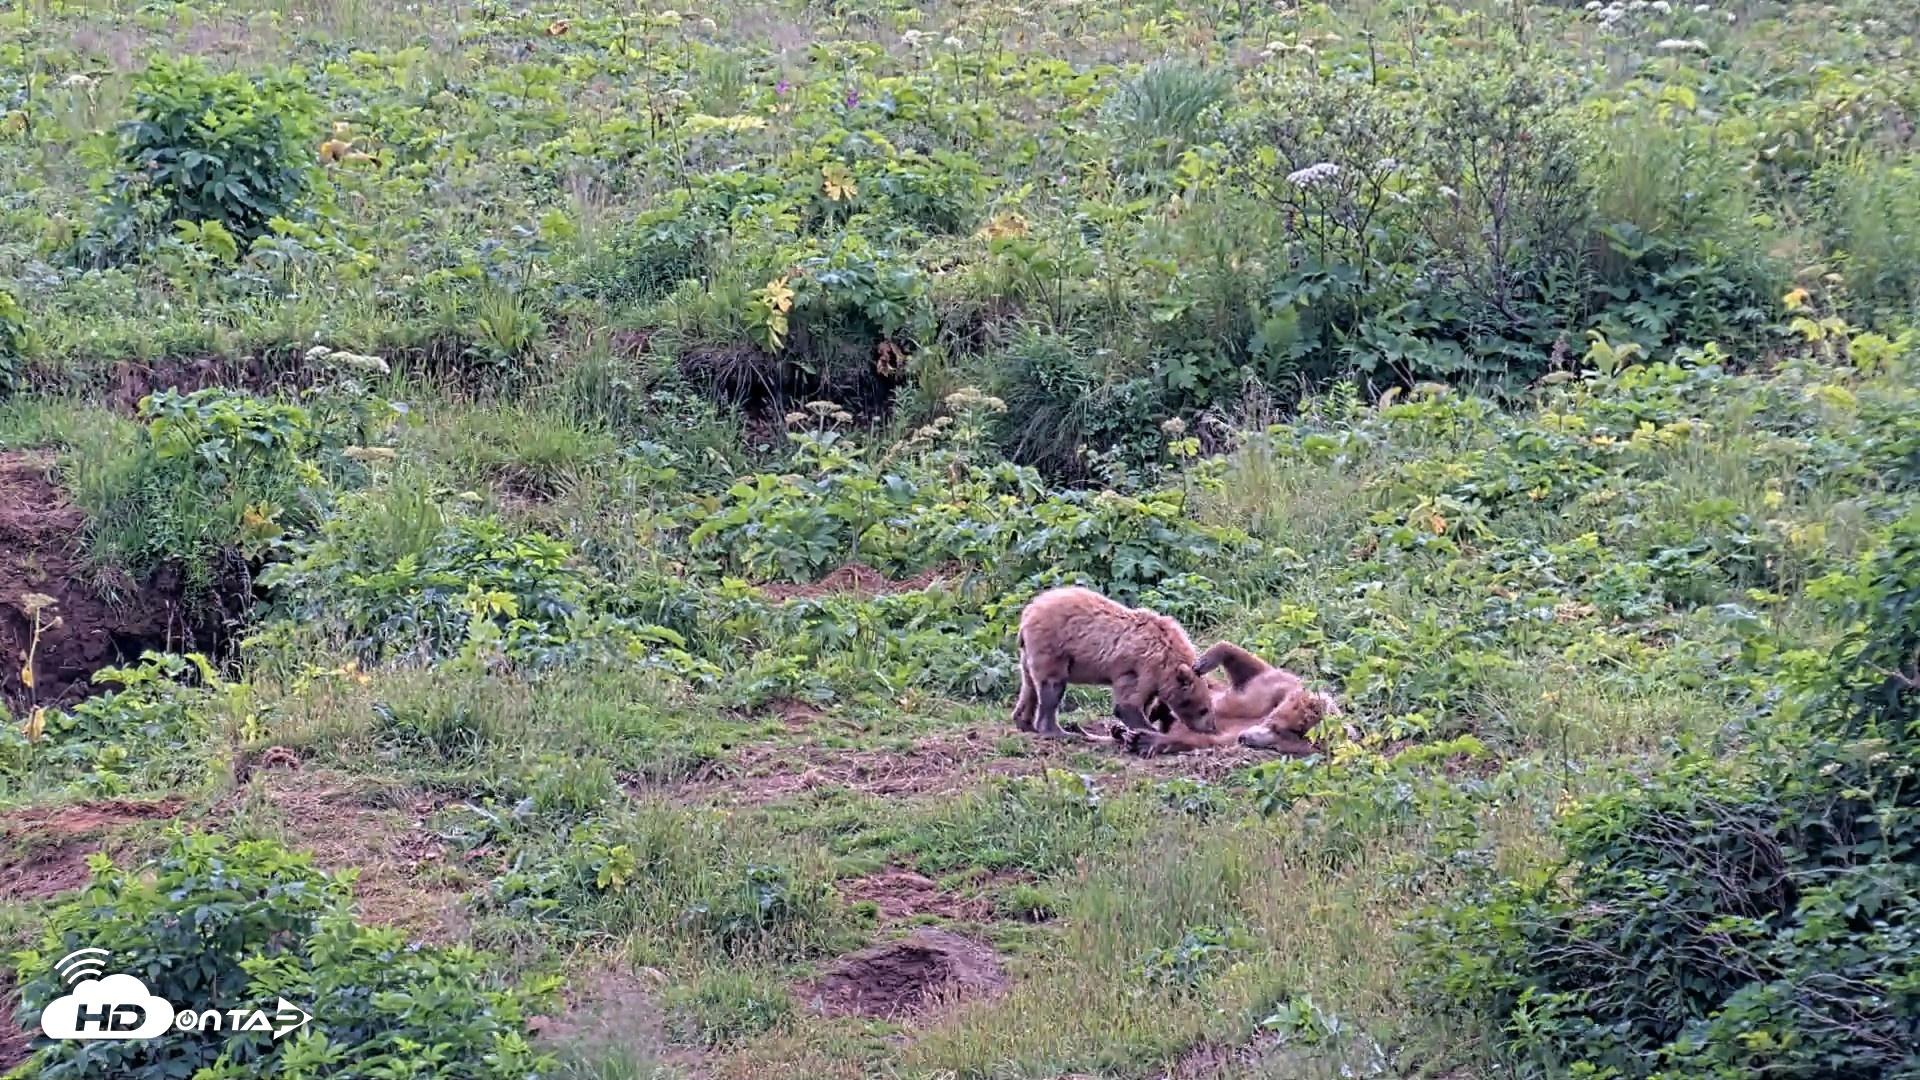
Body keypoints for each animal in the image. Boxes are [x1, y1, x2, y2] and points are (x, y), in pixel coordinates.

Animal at [1010, 586, 1216, 738]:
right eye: (1204, 709)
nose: (1211, 727)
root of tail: (1027, 612)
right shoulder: (1141, 666)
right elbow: (1127, 703)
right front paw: (1147, 729)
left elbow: (1144, 701)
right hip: (1054, 648)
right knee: (1052, 685)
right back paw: (1057, 731)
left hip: (1027, 653)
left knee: (1029, 685)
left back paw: (1024, 722)